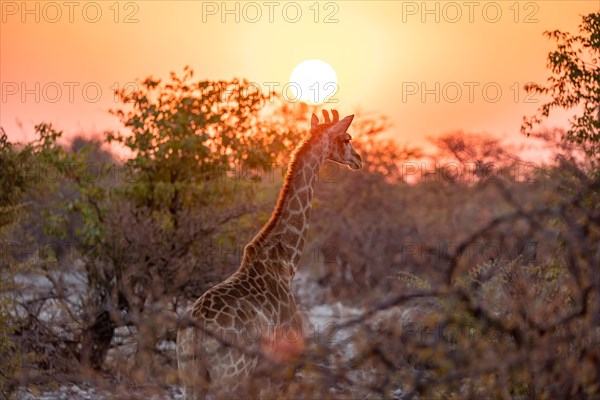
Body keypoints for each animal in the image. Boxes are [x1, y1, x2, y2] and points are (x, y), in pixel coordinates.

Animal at [173, 108, 360, 398]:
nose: (358, 159)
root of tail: (196, 335)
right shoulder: (281, 366)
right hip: (230, 378)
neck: (285, 262)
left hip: (190, 376)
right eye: (347, 138)